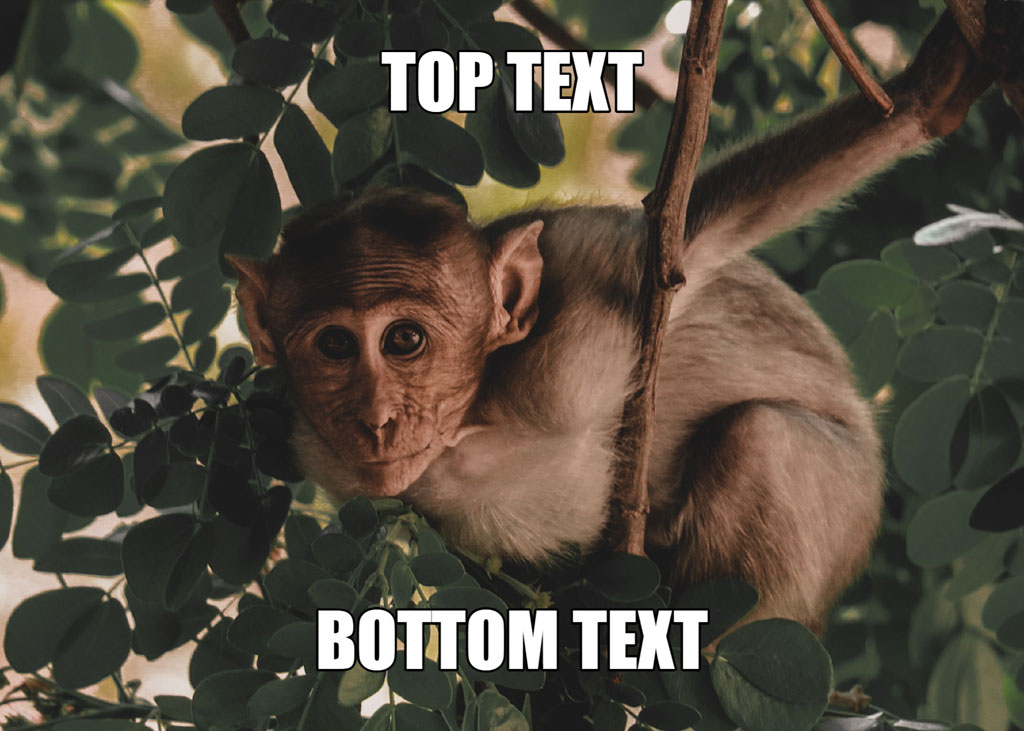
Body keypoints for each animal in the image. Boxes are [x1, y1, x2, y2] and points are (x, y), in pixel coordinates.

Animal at [228, 14, 998, 633]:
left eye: (404, 340)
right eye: (334, 345)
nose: (378, 420)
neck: (470, 426)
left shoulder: (584, 300)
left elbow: (702, 233)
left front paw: (927, 92)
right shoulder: (332, 456)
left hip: (842, 503)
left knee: (761, 436)